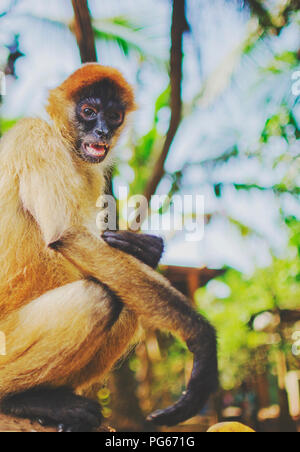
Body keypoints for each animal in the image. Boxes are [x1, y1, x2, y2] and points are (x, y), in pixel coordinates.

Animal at [0, 63, 218, 430]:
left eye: (114, 116)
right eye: (88, 112)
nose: (102, 131)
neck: (62, 141)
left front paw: (146, 249)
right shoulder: (34, 136)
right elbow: (71, 236)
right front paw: (201, 340)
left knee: (124, 299)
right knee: (98, 297)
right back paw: (20, 401)